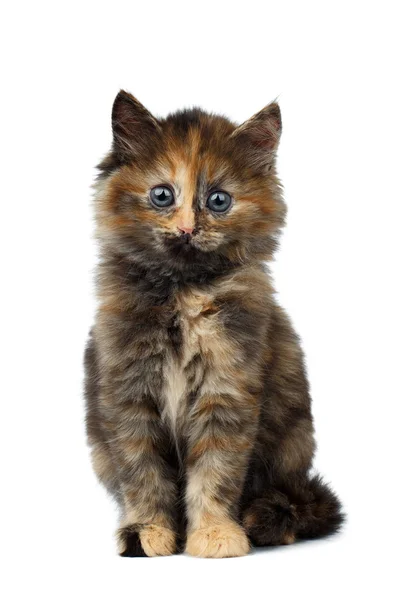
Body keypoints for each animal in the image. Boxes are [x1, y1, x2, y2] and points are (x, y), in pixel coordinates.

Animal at [84, 90, 344, 556]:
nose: (188, 229)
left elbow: (216, 471)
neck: (183, 292)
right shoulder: (127, 393)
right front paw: (148, 531)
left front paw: (214, 533)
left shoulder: (227, 388)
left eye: (219, 200)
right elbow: (142, 474)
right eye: (162, 195)